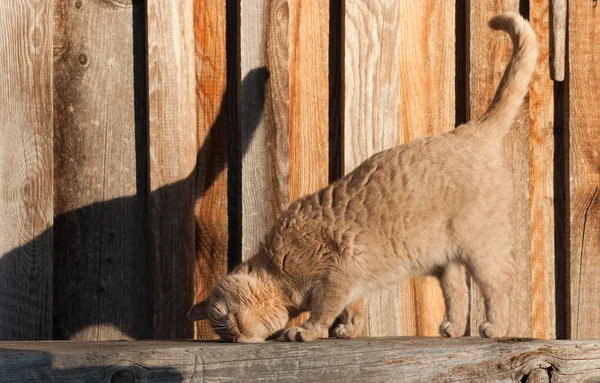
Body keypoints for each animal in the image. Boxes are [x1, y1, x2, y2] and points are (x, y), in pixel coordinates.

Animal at [189, 12, 540, 344]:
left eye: (224, 320)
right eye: (223, 332)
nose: (233, 336)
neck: (278, 265)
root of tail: (473, 128)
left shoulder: (337, 276)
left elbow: (324, 310)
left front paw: (306, 331)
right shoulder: (355, 283)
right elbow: (353, 308)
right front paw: (348, 330)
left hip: (481, 246)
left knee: (498, 285)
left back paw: (495, 327)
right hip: (446, 260)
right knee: (458, 292)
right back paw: (453, 328)